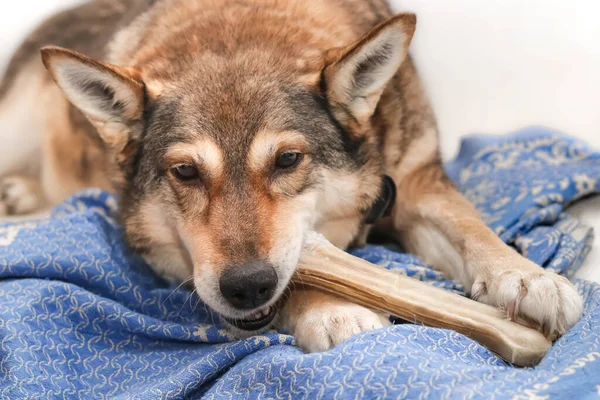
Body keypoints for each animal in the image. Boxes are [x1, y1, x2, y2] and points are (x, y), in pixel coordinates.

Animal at [0, 0, 580, 350]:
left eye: (286, 160)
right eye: (185, 171)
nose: (246, 287)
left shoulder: (417, 184)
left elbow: (470, 226)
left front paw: (526, 277)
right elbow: (301, 275)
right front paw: (333, 309)